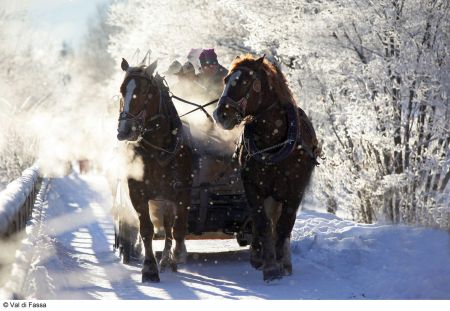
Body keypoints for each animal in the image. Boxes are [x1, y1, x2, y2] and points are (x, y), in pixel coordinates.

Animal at [115, 58, 192, 282]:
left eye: (145, 90)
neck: (158, 149)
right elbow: (146, 229)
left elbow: (178, 228)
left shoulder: (182, 191)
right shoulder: (137, 193)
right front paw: (149, 268)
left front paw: (177, 254)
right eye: (122, 89)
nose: (125, 130)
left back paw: (168, 258)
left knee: (169, 226)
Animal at [212, 53, 320, 282]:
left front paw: (281, 263)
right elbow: (262, 223)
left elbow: (284, 225)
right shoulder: (253, 187)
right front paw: (269, 266)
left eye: (244, 82)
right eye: (226, 80)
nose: (220, 115)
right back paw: (258, 255)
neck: (273, 142)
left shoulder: (295, 191)